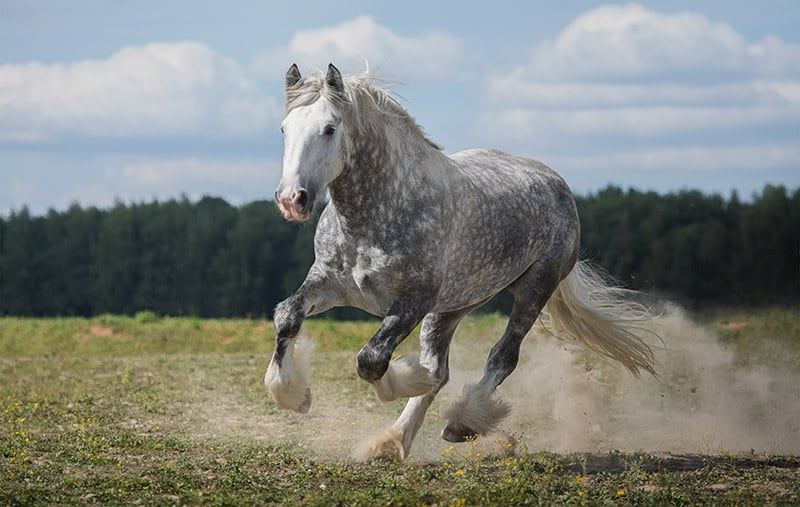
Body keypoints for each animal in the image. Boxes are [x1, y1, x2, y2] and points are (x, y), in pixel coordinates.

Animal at [265, 63, 657, 460]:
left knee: (502, 357)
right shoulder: (330, 283)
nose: (292, 199)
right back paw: (390, 441)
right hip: (453, 306)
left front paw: (408, 379)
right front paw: (294, 395)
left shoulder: (413, 301)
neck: (378, 212)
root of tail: (556, 182)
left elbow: (372, 359)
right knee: (441, 369)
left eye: (329, 128)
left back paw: (461, 423)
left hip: (534, 290)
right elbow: (287, 316)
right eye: (284, 128)